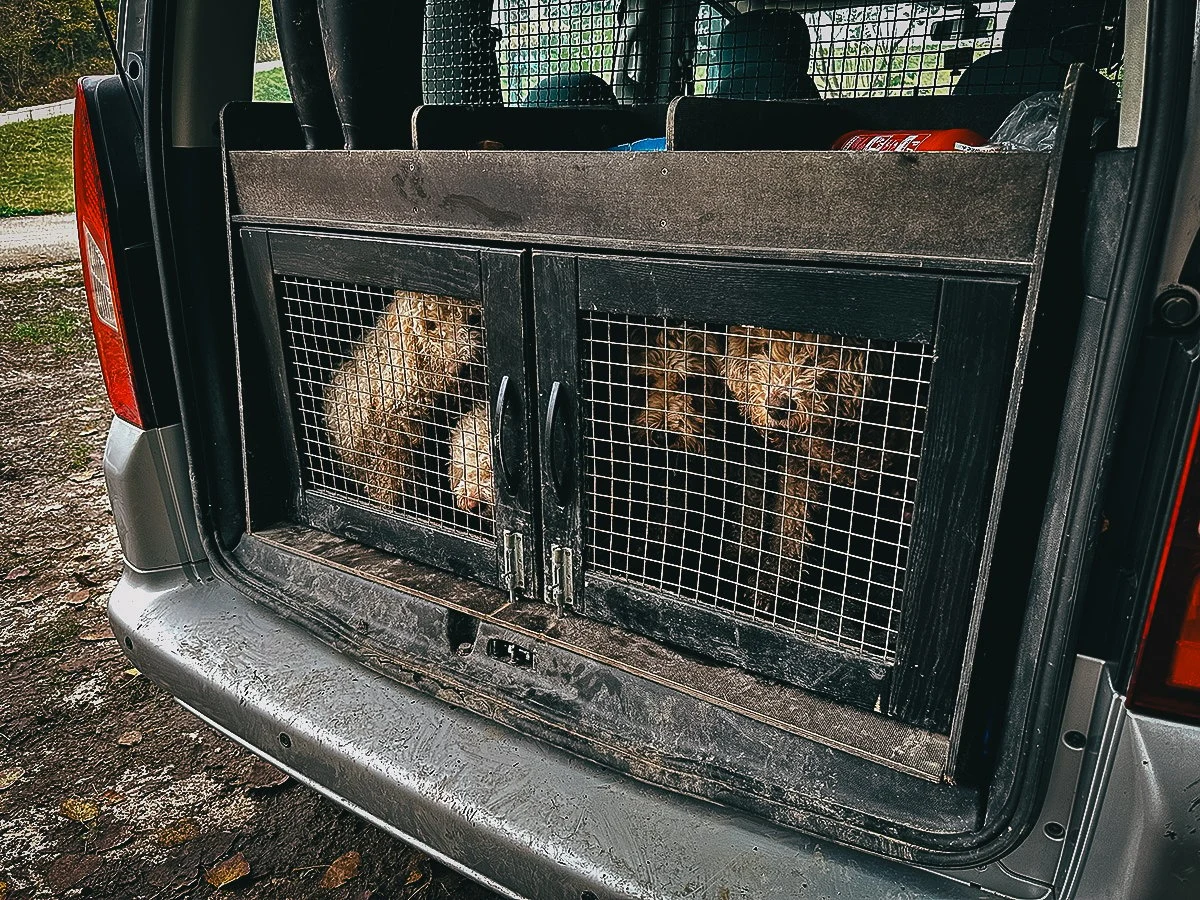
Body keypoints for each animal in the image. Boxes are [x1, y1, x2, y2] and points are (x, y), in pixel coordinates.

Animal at [715, 326, 868, 607]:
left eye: (816, 352)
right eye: (764, 348)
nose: (777, 408)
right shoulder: (798, 467)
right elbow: (790, 522)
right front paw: (773, 580)